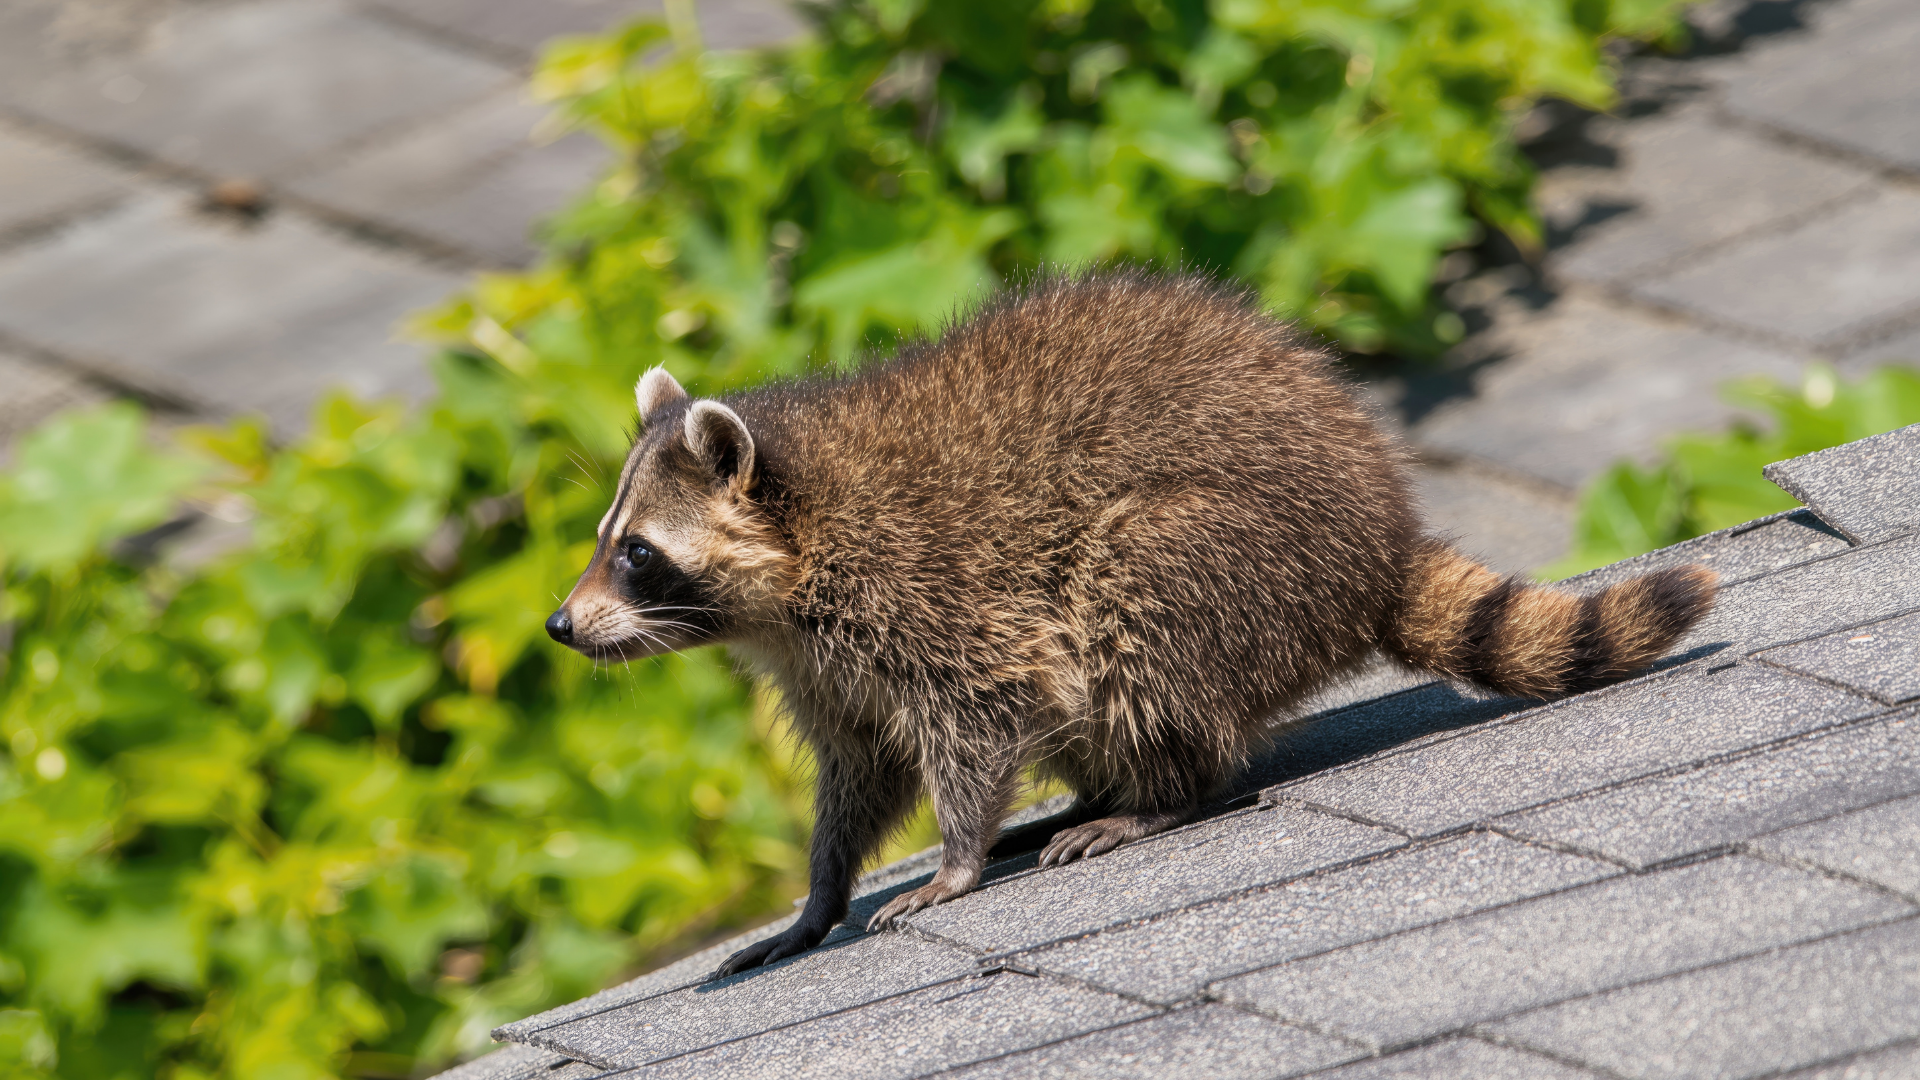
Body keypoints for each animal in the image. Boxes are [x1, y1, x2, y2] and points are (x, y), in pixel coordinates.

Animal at [545, 271, 1716, 977]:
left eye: (636, 554)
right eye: (603, 537)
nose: (558, 626)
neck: (796, 559)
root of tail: (1377, 534)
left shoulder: (930, 593)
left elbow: (976, 720)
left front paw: (955, 858)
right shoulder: (830, 665)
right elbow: (861, 774)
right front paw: (818, 897)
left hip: (1225, 554)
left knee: (1129, 608)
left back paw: (1161, 793)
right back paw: (1100, 790)